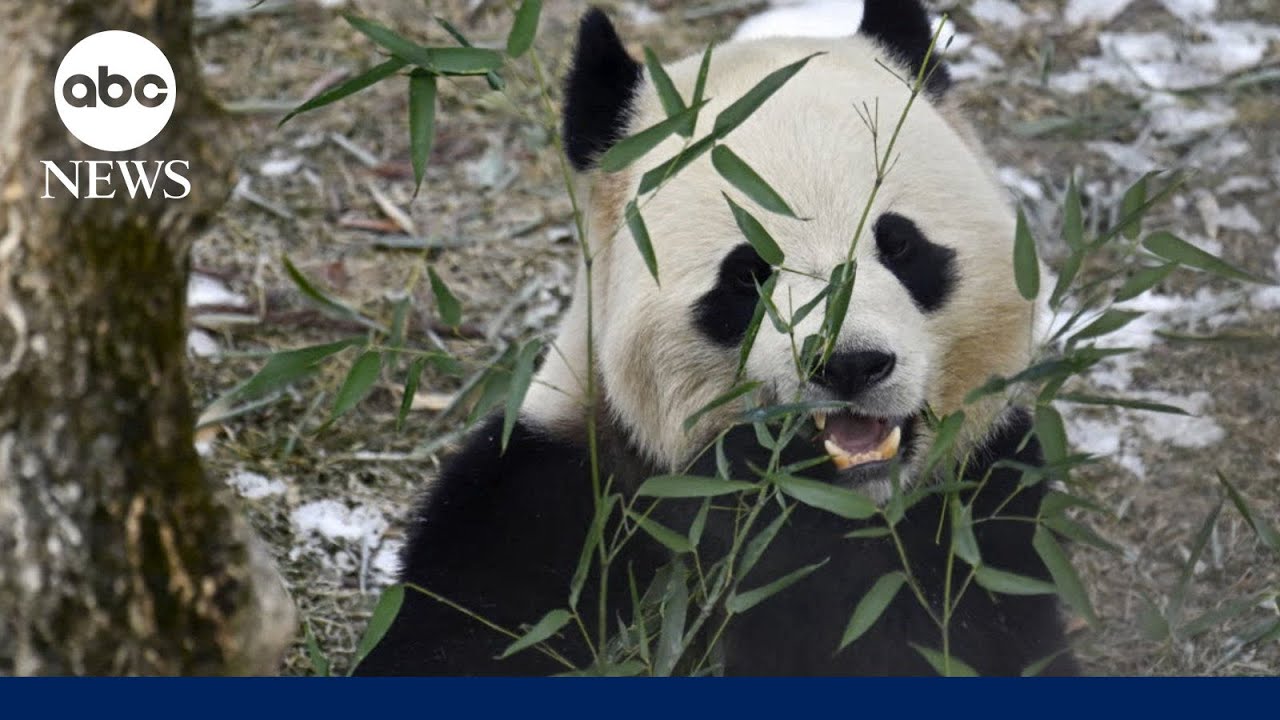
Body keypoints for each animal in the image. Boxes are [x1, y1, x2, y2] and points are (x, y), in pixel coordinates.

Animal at [355, 0, 1079, 676]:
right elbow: (467, 632)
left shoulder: (980, 509)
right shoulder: (565, 492)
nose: (848, 365)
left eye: (901, 245)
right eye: (747, 275)